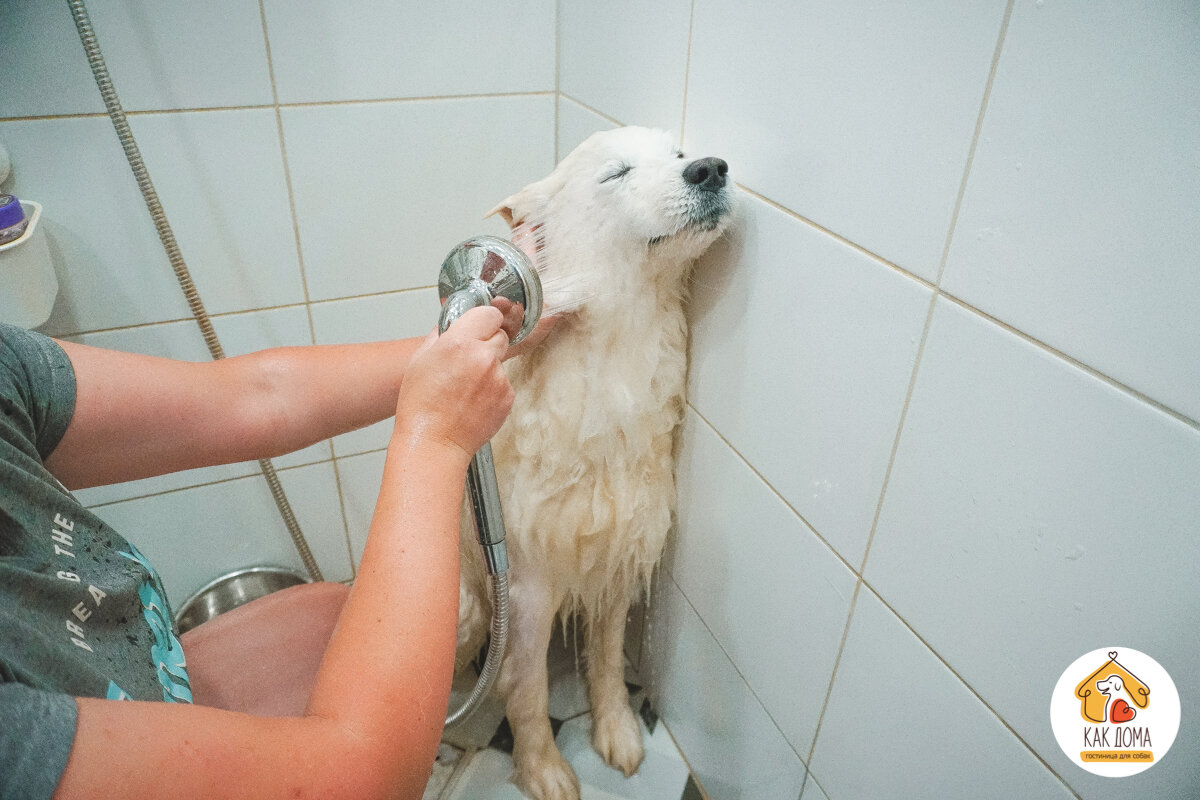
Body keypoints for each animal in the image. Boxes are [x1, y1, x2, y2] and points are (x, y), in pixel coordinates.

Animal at [456, 125, 729, 800]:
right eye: (617, 174)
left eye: (681, 156)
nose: (712, 169)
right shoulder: (527, 589)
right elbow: (526, 691)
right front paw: (544, 769)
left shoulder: (618, 554)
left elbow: (605, 662)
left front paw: (619, 732)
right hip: (469, 611)